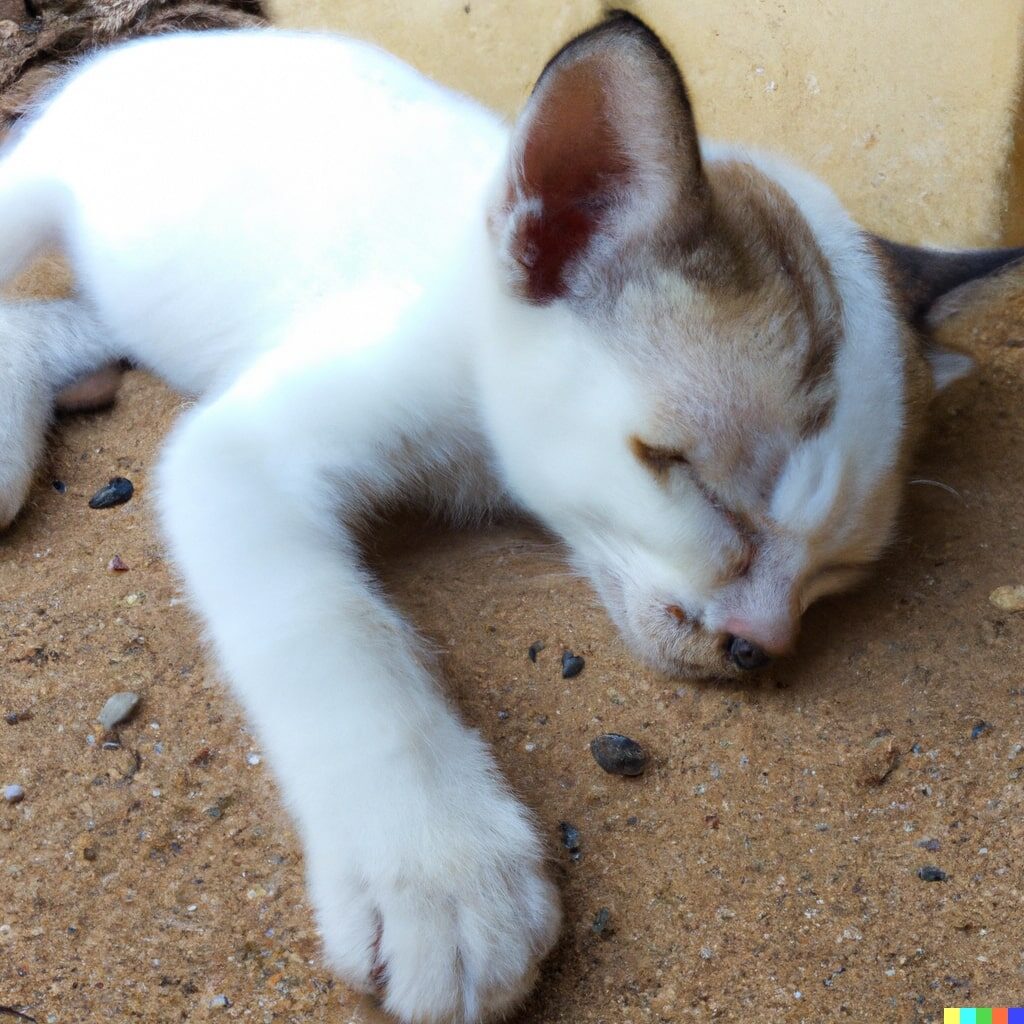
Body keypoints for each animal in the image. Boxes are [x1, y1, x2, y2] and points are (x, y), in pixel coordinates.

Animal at [0, 9, 1019, 1024]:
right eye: (691, 478)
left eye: (836, 572)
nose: (758, 645)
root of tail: (165, 41)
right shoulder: (236, 454)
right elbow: (334, 625)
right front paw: (439, 871)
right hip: (31, 183)